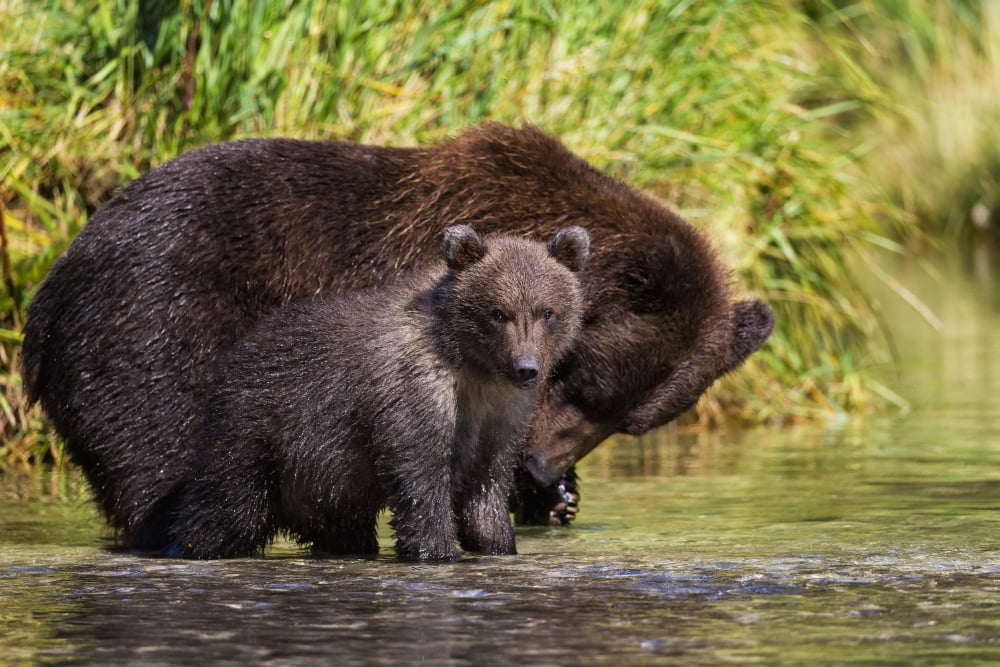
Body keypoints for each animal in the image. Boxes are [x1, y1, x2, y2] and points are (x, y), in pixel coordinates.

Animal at [170, 225, 589, 560]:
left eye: (547, 311)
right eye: (498, 312)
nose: (526, 367)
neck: (473, 367)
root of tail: (238, 349)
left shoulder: (502, 415)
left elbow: (487, 488)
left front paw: (498, 544)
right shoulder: (412, 391)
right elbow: (420, 476)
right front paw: (436, 551)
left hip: (325, 486)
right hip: (258, 430)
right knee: (226, 508)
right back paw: (186, 545)